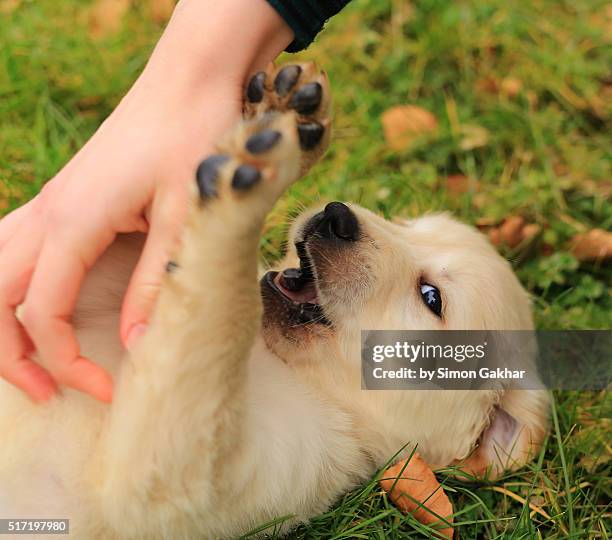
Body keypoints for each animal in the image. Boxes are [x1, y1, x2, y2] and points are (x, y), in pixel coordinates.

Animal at [0, 61, 548, 536]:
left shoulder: (193, 478)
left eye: (431, 297)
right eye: (406, 223)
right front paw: (281, 119)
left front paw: (251, 176)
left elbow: (215, 312)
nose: (335, 216)